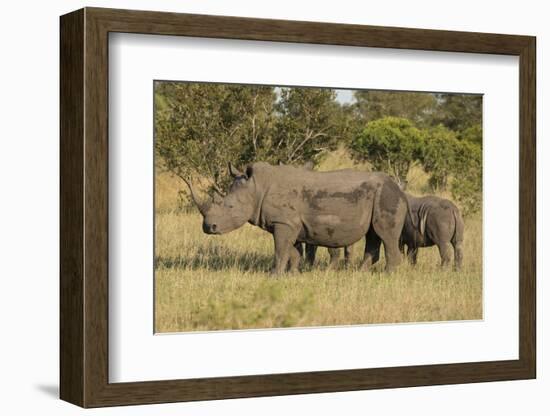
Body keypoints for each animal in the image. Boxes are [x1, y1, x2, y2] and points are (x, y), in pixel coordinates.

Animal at [185, 162, 410, 272]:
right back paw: (359, 275)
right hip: (380, 196)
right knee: (373, 235)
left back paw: (388, 276)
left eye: (230, 206)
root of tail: (399, 189)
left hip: (387, 196)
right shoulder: (289, 224)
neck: (257, 188)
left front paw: (273, 276)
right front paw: (292, 275)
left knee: (386, 236)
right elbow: (292, 253)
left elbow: (280, 251)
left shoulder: (283, 223)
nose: (208, 227)